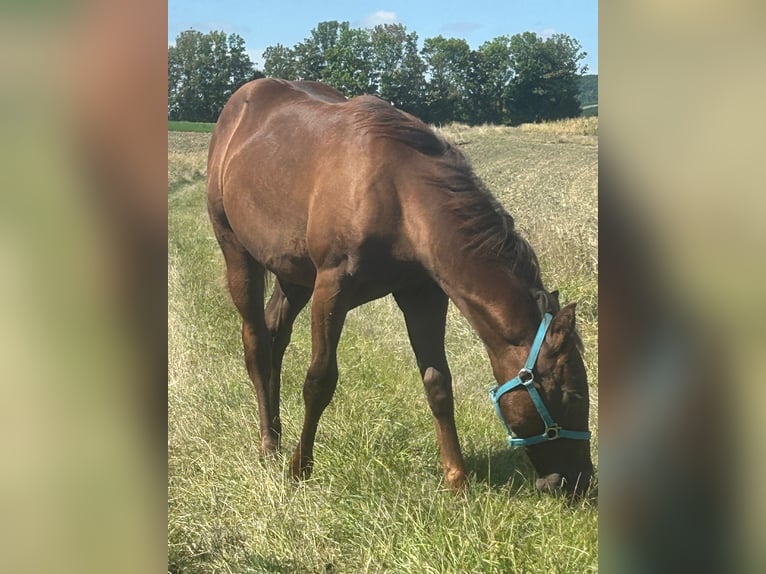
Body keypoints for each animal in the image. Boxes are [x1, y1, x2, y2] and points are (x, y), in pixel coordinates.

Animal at [206, 78, 593, 495]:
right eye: (572, 395)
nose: (581, 480)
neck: (400, 196)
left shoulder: (423, 294)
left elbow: (438, 382)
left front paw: (456, 480)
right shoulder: (332, 288)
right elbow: (319, 379)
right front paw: (300, 469)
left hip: (293, 275)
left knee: (275, 335)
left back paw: (277, 434)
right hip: (237, 253)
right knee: (257, 343)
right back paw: (268, 445)